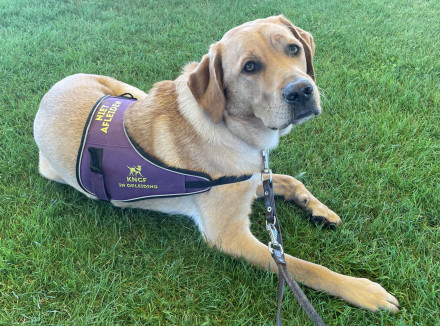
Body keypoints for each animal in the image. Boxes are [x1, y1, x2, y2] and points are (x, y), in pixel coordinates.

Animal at [33, 15, 398, 314]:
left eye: (293, 49)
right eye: (249, 67)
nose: (301, 90)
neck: (234, 129)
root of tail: (51, 91)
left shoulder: (252, 178)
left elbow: (291, 180)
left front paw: (317, 208)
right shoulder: (229, 235)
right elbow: (302, 267)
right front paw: (364, 291)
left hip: (131, 92)